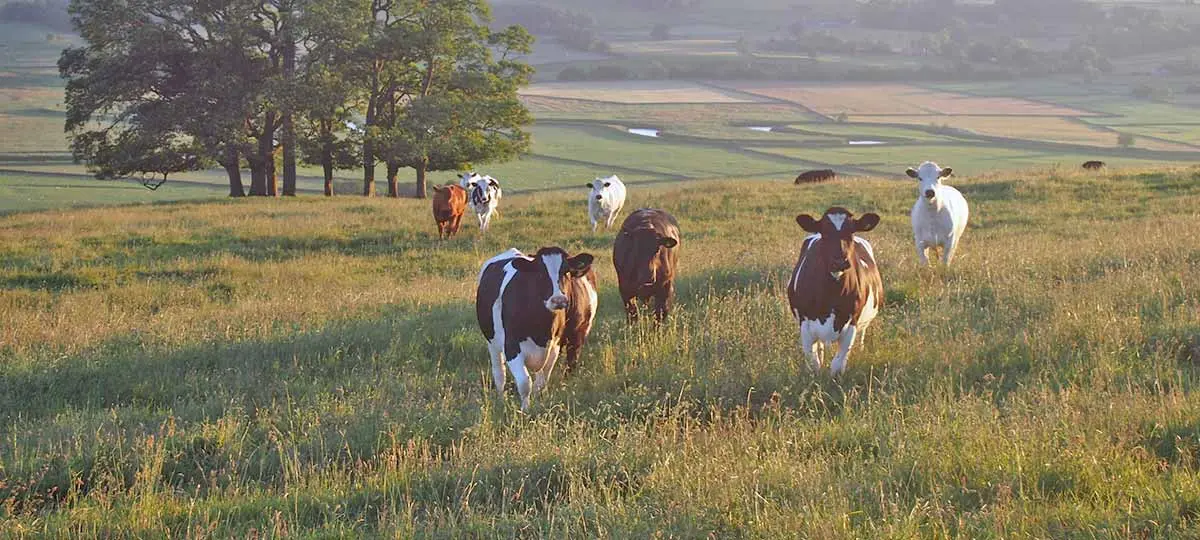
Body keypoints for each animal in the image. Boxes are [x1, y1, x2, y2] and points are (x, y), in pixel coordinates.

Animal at [472, 248, 595, 410]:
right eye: (540, 272)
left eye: (566, 271)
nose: (558, 300)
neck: (541, 330)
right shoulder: (511, 347)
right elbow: (525, 383)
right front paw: (524, 410)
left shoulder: (554, 347)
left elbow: (540, 383)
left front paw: (538, 404)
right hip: (492, 342)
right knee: (499, 374)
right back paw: (501, 399)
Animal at [782, 206, 888, 374]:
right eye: (825, 233)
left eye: (851, 232)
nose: (839, 261)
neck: (830, 295)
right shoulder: (805, 324)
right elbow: (814, 363)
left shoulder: (852, 323)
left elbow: (838, 364)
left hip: (863, 323)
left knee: (861, 336)